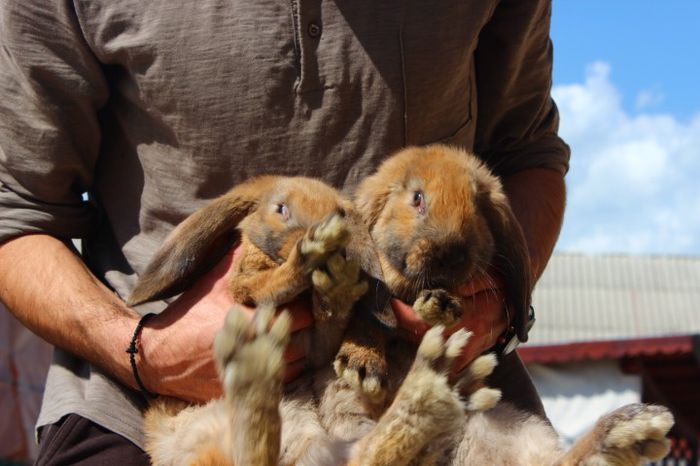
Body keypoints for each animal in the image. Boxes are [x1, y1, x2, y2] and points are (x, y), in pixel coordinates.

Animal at [126, 175, 498, 466]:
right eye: (281, 209)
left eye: (341, 215)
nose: (331, 251)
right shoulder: (245, 287)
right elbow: (267, 285)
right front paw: (311, 255)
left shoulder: (318, 349)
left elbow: (330, 321)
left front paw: (339, 287)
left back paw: (443, 384)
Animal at [352, 144, 676, 464]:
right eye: (417, 198)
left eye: (478, 205)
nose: (452, 255)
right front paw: (364, 363)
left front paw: (438, 305)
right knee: (368, 450)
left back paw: (630, 431)